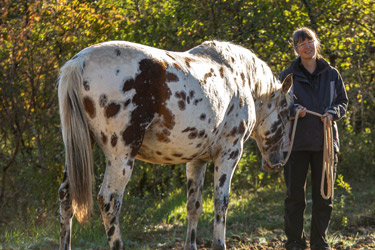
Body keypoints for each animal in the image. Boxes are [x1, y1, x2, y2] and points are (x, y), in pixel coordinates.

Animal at [58, 40, 294, 249]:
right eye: (287, 112)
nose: (278, 161)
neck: (240, 78)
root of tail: (79, 63)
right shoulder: (229, 153)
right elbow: (221, 202)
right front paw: (219, 244)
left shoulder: (197, 160)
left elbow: (194, 205)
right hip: (121, 156)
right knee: (109, 201)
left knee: (66, 198)